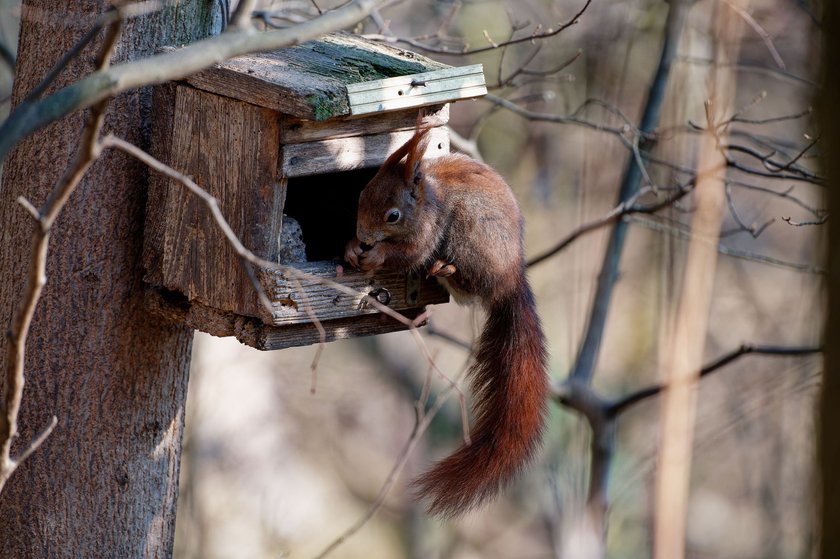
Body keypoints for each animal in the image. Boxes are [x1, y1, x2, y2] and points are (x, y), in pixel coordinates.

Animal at [344, 126, 548, 516]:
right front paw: (350, 249)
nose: (362, 238)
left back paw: (445, 269)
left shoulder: (428, 230)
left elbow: (410, 254)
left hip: (469, 234)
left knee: (465, 278)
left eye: (393, 215)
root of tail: (509, 277)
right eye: (361, 192)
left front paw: (377, 255)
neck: (427, 201)